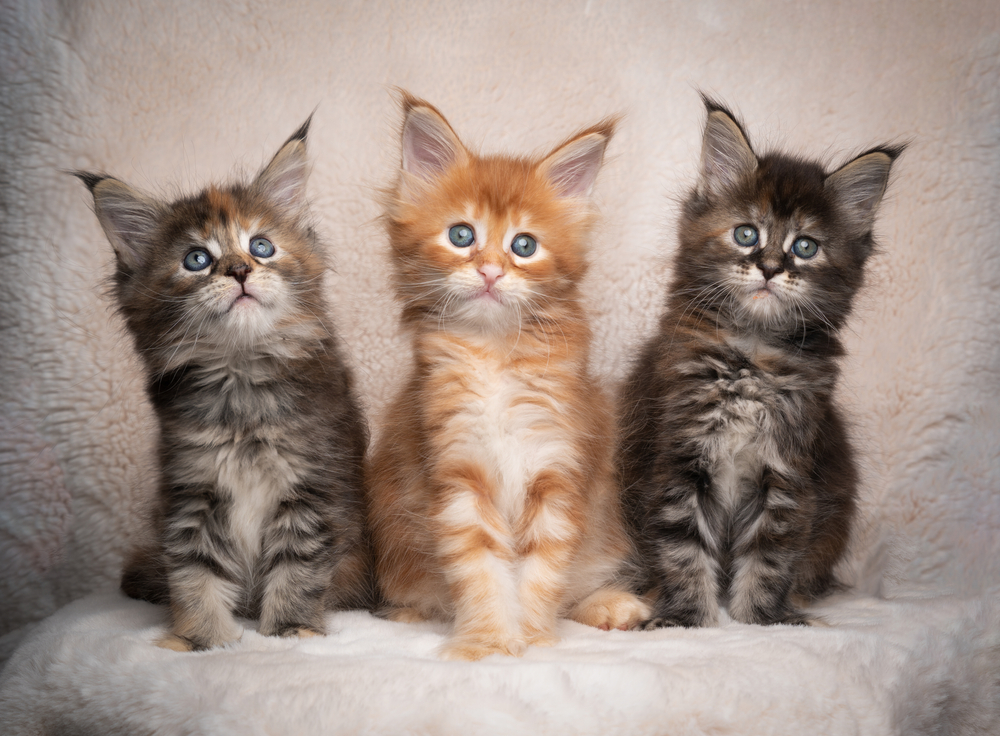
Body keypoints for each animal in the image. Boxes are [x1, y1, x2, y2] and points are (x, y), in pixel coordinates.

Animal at [79, 119, 376, 648]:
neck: (241, 379)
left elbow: (298, 568)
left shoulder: (311, 487)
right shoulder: (191, 488)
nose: (239, 270)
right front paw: (202, 640)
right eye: (197, 259)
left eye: (261, 247)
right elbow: (194, 571)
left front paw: (290, 629)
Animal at [368, 93, 648, 660]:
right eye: (461, 235)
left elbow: (543, 570)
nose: (491, 271)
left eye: (524, 246)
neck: (495, 352)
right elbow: (479, 567)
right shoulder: (456, 467)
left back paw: (610, 606)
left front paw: (535, 641)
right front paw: (489, 641)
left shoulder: (558, 465)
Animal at [620, 98, 904, 628]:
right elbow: (681, 548)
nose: (770, 267)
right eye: (746, 233)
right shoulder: (678, 458)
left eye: (805, 246)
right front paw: (686, 617)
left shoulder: (789, 470)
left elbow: (772, 553)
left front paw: (762, 620)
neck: (752, 354)